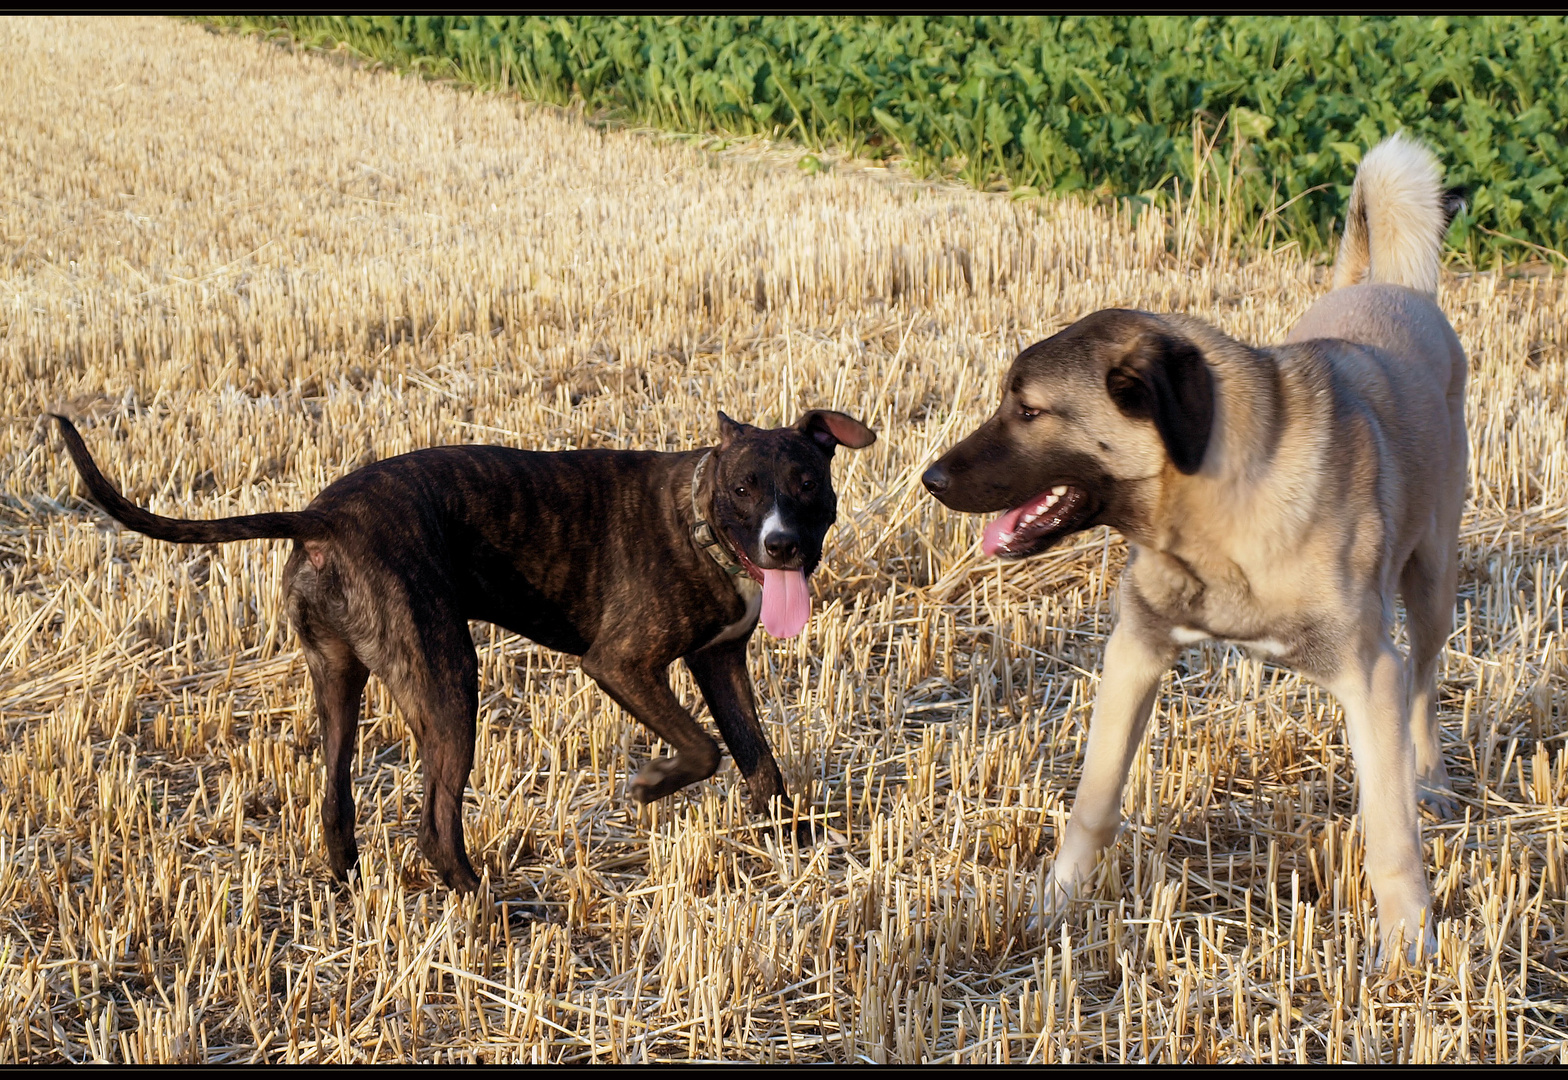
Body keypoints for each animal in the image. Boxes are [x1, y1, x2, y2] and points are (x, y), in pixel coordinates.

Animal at [921, 134, 1461, 953]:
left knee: (1425, 683)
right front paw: (1055, 903)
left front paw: (1409, 945)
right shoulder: (1135, 650)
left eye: (1029, 410)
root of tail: (1394, 289)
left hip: (1432, 582)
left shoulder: (1370, 673)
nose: (931, 477)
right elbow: (1093, 802)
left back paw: (1429, 779)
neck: (1219, 511)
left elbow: (1390, 834)